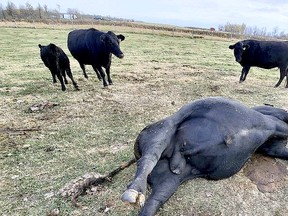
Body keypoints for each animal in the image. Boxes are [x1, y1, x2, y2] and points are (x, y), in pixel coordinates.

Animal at [120, 97, 288, 215]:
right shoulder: (273, 124)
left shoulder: (273, 146)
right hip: (164, 129)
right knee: (148, 158)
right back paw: (133, 192)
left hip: (169, 181)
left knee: (153, 202)